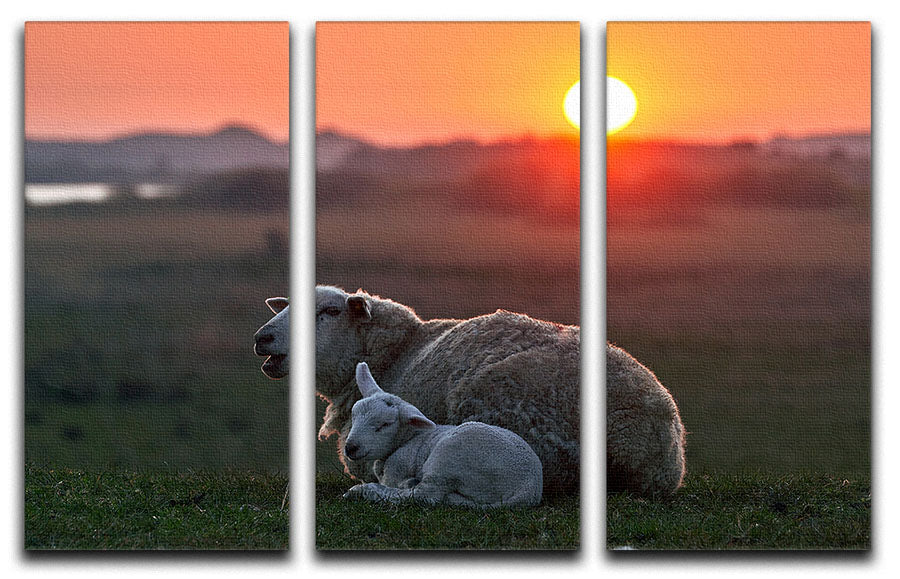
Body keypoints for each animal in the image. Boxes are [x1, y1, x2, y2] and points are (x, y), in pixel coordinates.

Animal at [342, 362, 543, 508]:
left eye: (385, 424)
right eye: (354, 415)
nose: (351, 447)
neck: (406, 441)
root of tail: (528, 489)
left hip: (448, 458)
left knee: (424, 496)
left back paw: (362, 491)